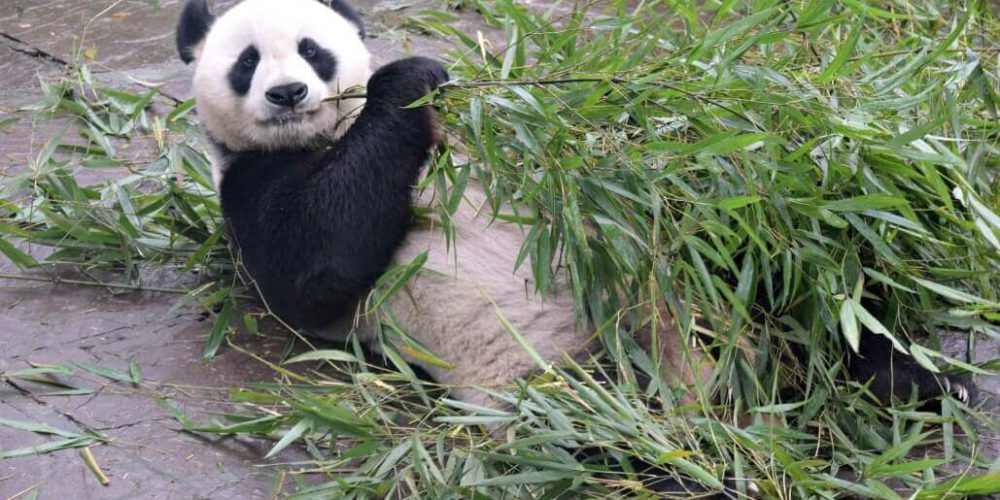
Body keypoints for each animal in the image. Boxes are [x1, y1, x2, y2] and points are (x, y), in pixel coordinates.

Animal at [176, 0, 972, 408]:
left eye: (313, 49)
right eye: (247, 61)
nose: (288, 94)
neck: (332, 133)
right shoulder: (248, 186)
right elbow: (314, 263)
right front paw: (411, 78)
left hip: (704, 274)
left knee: (802, 289)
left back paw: (913, 380)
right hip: (566, 376)